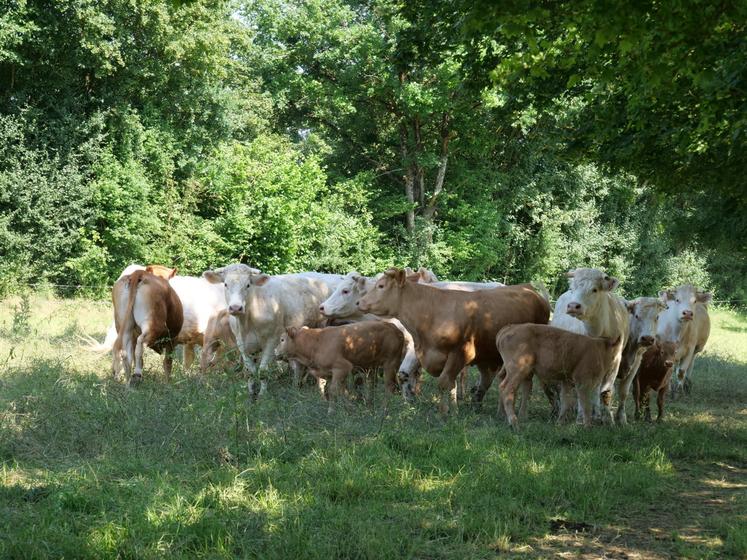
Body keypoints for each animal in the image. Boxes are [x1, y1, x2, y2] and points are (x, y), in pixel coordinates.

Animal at [202, 264, 343, 397]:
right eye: (226, 284)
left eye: (248, 285)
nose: (236, 308)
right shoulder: (242, 344)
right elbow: (250, 372)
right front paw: (251, 394)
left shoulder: (272, 340)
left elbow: (263, 371)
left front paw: (262, 395)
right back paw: (297, 383)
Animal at [274, 322, 405, 413]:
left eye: (282, 339)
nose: (275, 351)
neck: (316, 343)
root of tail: (394, 327)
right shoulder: (331, 373)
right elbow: (341, 391)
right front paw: (349, 408)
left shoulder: (342, 368)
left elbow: (333, 390)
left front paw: (331, 411)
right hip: (373, 365)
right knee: (372, 384)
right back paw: (369, 405)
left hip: (391, 362)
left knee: (389, 386)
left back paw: (383, 410)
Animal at [357, 268, 551, 416]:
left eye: (381, 286)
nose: (359, 302)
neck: (431, 311)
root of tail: (529, 288)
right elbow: (451, 384)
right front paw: (453, 411)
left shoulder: (461, 352)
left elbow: (444, 383)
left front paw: (444, 413)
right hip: (489, 355)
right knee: (488, 378)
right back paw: (481, 404)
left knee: (525, 383)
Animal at [549, 268, 629, 424]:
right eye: (573, 289)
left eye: (594, 289)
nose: (573, 306)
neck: (599, 332)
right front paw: (581, 418)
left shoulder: (615, 360)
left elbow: (606, 391)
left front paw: (609, 420)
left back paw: (596, 414)